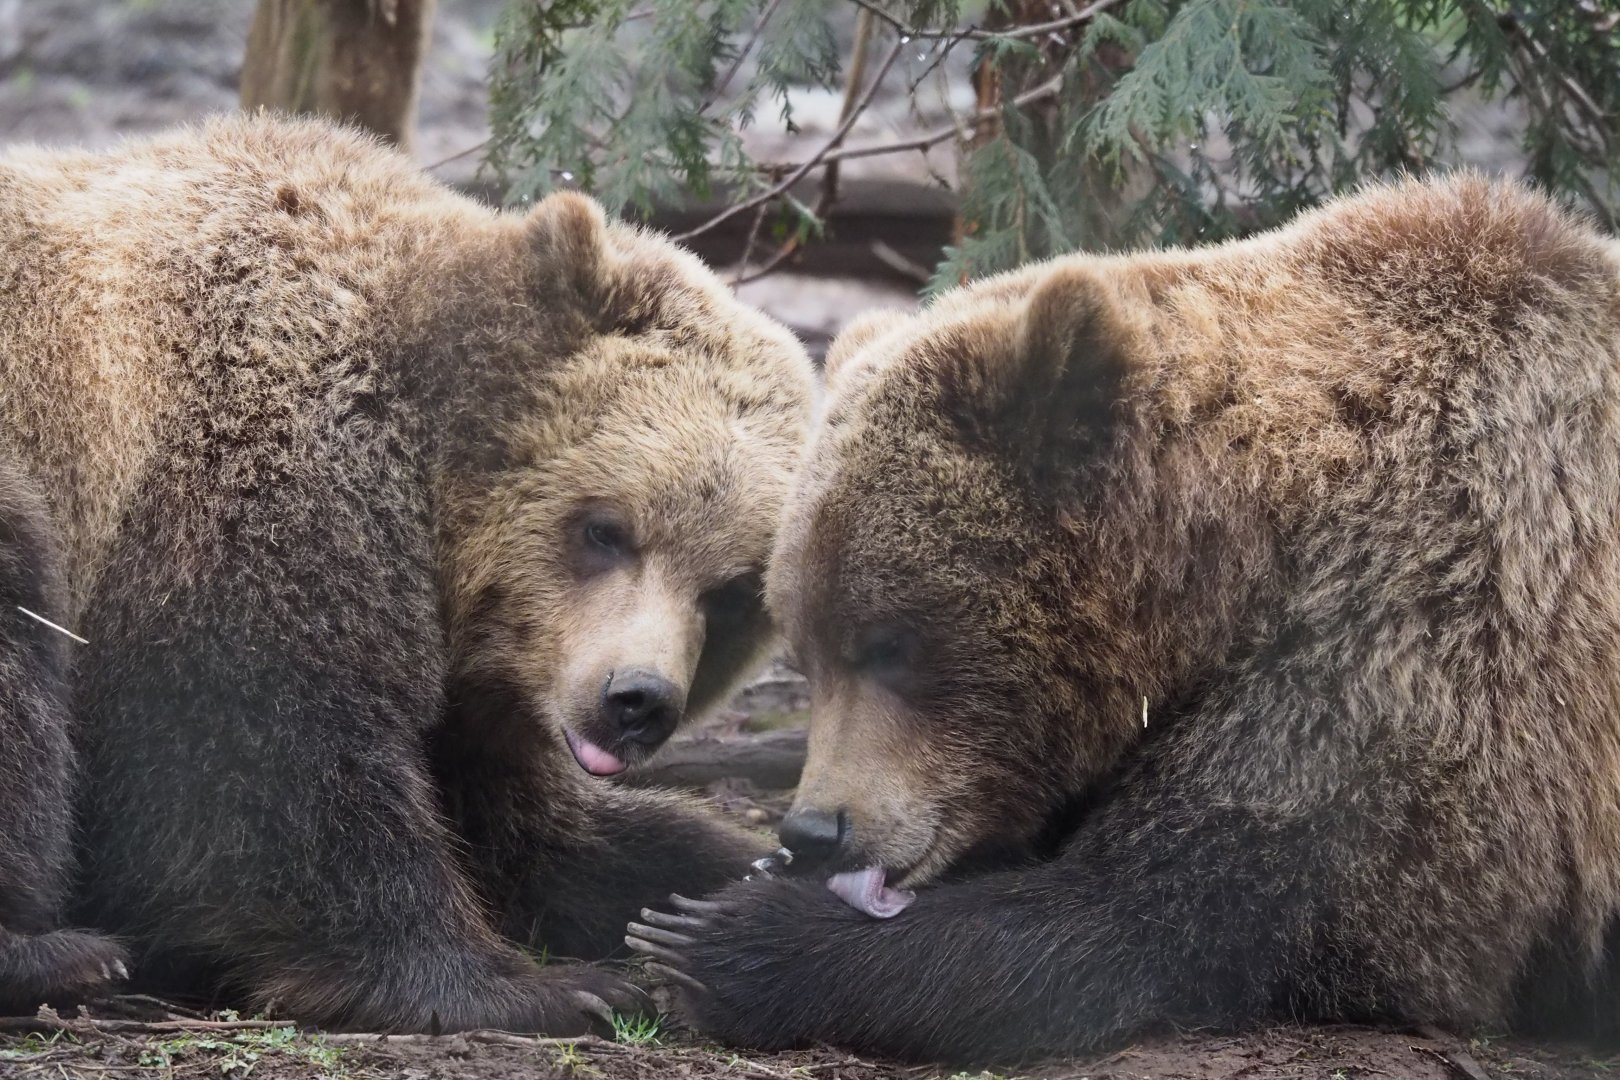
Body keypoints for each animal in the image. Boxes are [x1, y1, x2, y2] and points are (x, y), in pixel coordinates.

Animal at [0, 114, 814, 1032]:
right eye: (608, 529)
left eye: (731, 592)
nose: (636, 701)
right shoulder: (241, 497)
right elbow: (262, 771)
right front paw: (530, 983)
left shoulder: (492, 688)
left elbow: (539, 835)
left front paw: (734, 886)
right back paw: (56, 956)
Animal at [629, 174, 1620, 1062]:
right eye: (807, 649)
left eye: (890, 644)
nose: (812, 830)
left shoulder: (1422, 627)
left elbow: (1184, 916)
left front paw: (723, 935)